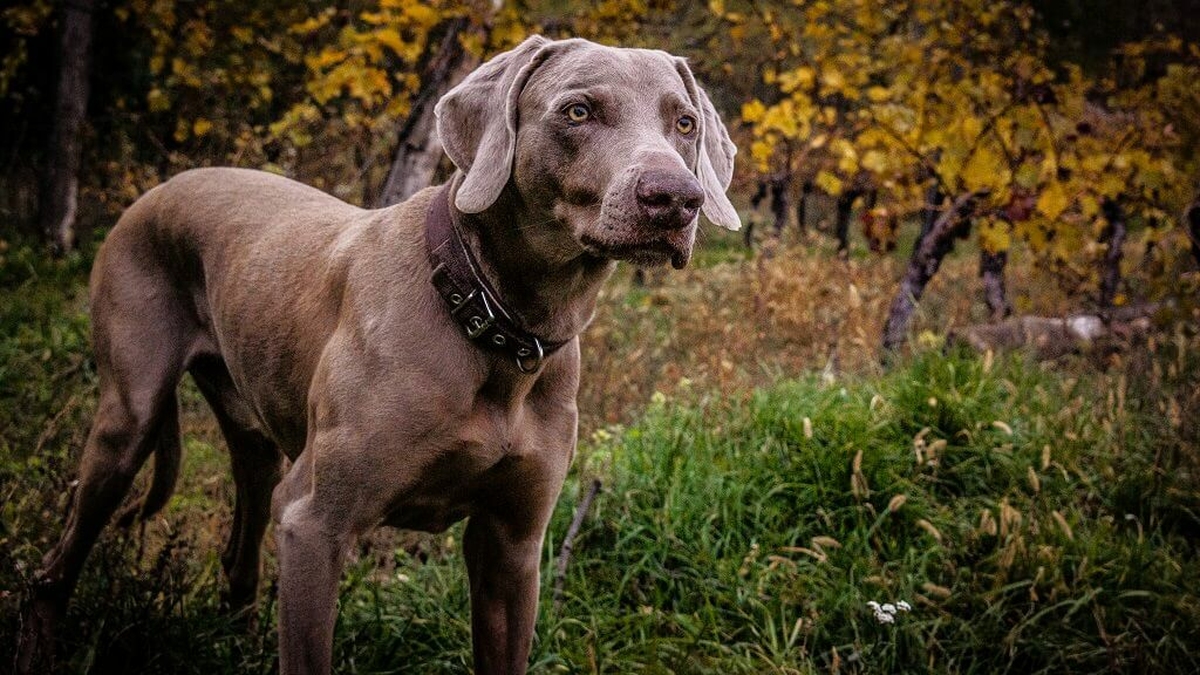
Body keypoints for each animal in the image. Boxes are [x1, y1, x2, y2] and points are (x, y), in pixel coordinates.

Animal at [18, 36, 739, 672]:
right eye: (579, 112)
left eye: (684, 122)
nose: (675, 198)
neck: (494, 325)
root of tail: (158, 189)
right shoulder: (314, 524)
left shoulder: (513, 544)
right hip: (129, 414)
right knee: (53, 569)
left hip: (253, 437)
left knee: (239, 548)